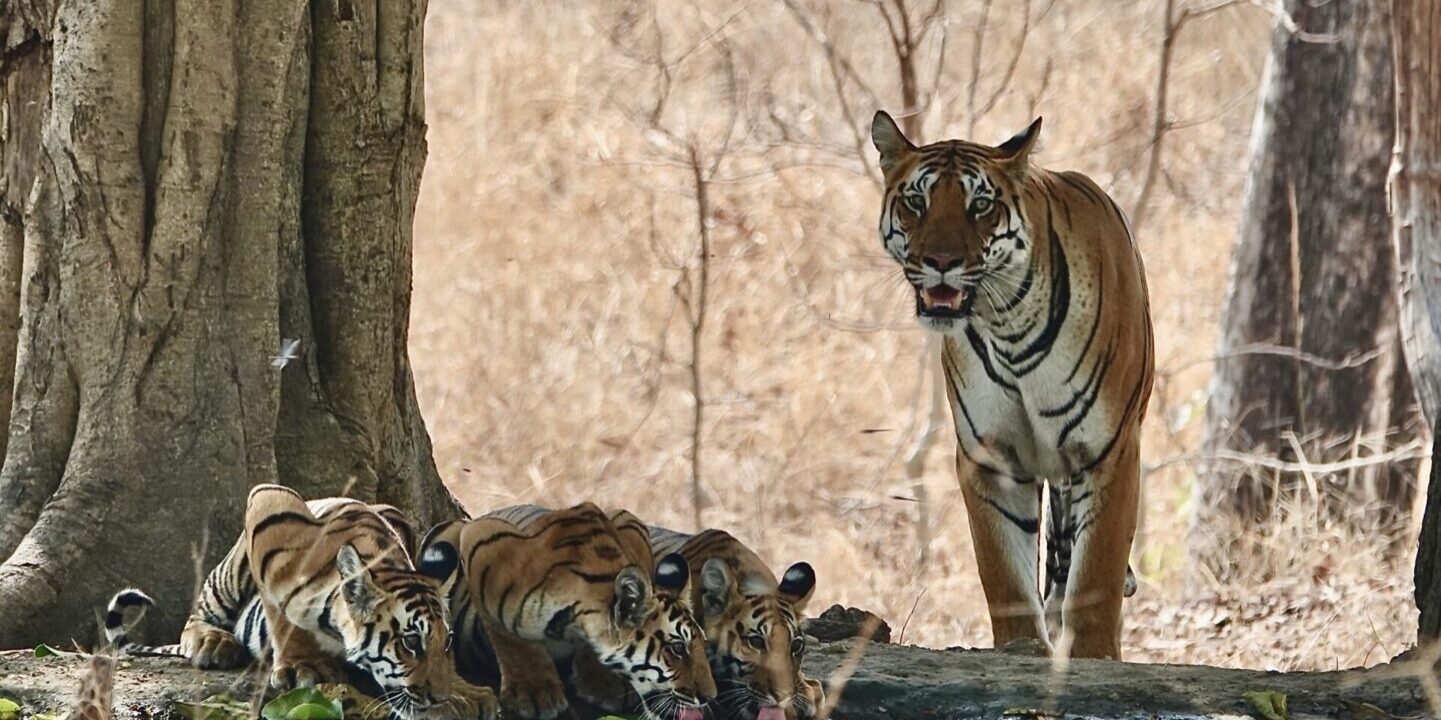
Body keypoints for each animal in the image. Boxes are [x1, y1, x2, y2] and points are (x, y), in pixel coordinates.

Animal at [104, 485, 497, 720]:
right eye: (410, 642)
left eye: (446, 641)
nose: (439, 697)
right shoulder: (268, 503)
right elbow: (280, 610)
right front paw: (299, 664)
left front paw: (466, 693)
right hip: (230, 574)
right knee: (198, 616)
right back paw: (212, 642)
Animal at [422, 503, 716, 720]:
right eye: (677, 648)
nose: (709, 697)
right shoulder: (481, 539)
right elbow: (507, 635)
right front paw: (533, 692)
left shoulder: (632, 526)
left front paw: (601, 682)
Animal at [870, 111, 1153, 659]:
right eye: (916, 202)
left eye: (980, 205)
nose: (940, 261)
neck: (1009, 324)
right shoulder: (991, 459)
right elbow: (1003, 576)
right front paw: (1021, 649)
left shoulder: (1108, 451)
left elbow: (1097, 576)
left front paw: (1092, 655)